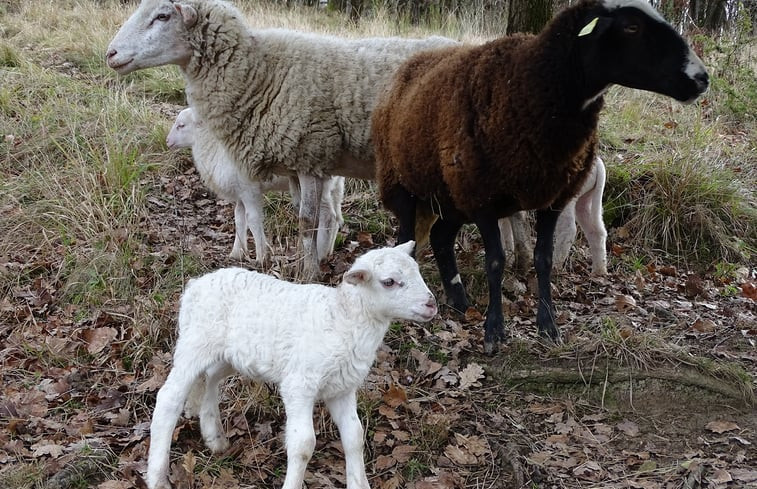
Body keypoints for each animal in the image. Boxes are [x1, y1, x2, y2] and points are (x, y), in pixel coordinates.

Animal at [146, 240, 438, 488]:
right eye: (389, 282)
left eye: (417, 271)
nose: (431, 304)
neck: (343, 318)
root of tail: (195, 284)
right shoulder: (300, 384)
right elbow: (304, 444)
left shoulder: (342, 387)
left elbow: (354, 436)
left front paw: (359, 483)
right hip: (195, 342)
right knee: (168, 398)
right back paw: (157, 476)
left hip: (226, 354)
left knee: (209, 378)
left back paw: (214, 437)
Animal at [167, 107, 344, 264]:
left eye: (181, 125)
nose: (167, 142)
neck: (214, 148)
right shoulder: (240, 193)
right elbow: (239, 219)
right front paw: (236, 253)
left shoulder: (249, 190)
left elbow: (252, 219)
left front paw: (261, 257)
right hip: (336, 183)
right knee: (337, 216)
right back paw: (329, 251)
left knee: (327, 216)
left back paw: (320, 254)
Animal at [372, 0, 708, 352]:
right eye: (632, 27)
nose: (701, 78)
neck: (531, 83)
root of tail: (409, 66)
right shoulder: (483, 196)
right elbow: (495, 261)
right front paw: (494, 331)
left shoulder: (553, 195)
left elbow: (543, 258)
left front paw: (548, 327)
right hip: (404, 183)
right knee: (407, 238)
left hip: (451, 193)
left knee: (440, 237)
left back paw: (460, 300)